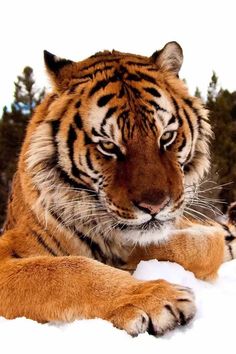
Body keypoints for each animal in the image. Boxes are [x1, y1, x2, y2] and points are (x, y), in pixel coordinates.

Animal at [0, 41, 234, 338]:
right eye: (108, 146)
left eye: (167, 137)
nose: (155, 206)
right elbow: (67, 270)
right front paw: (156, 297)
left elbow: (202, 243)